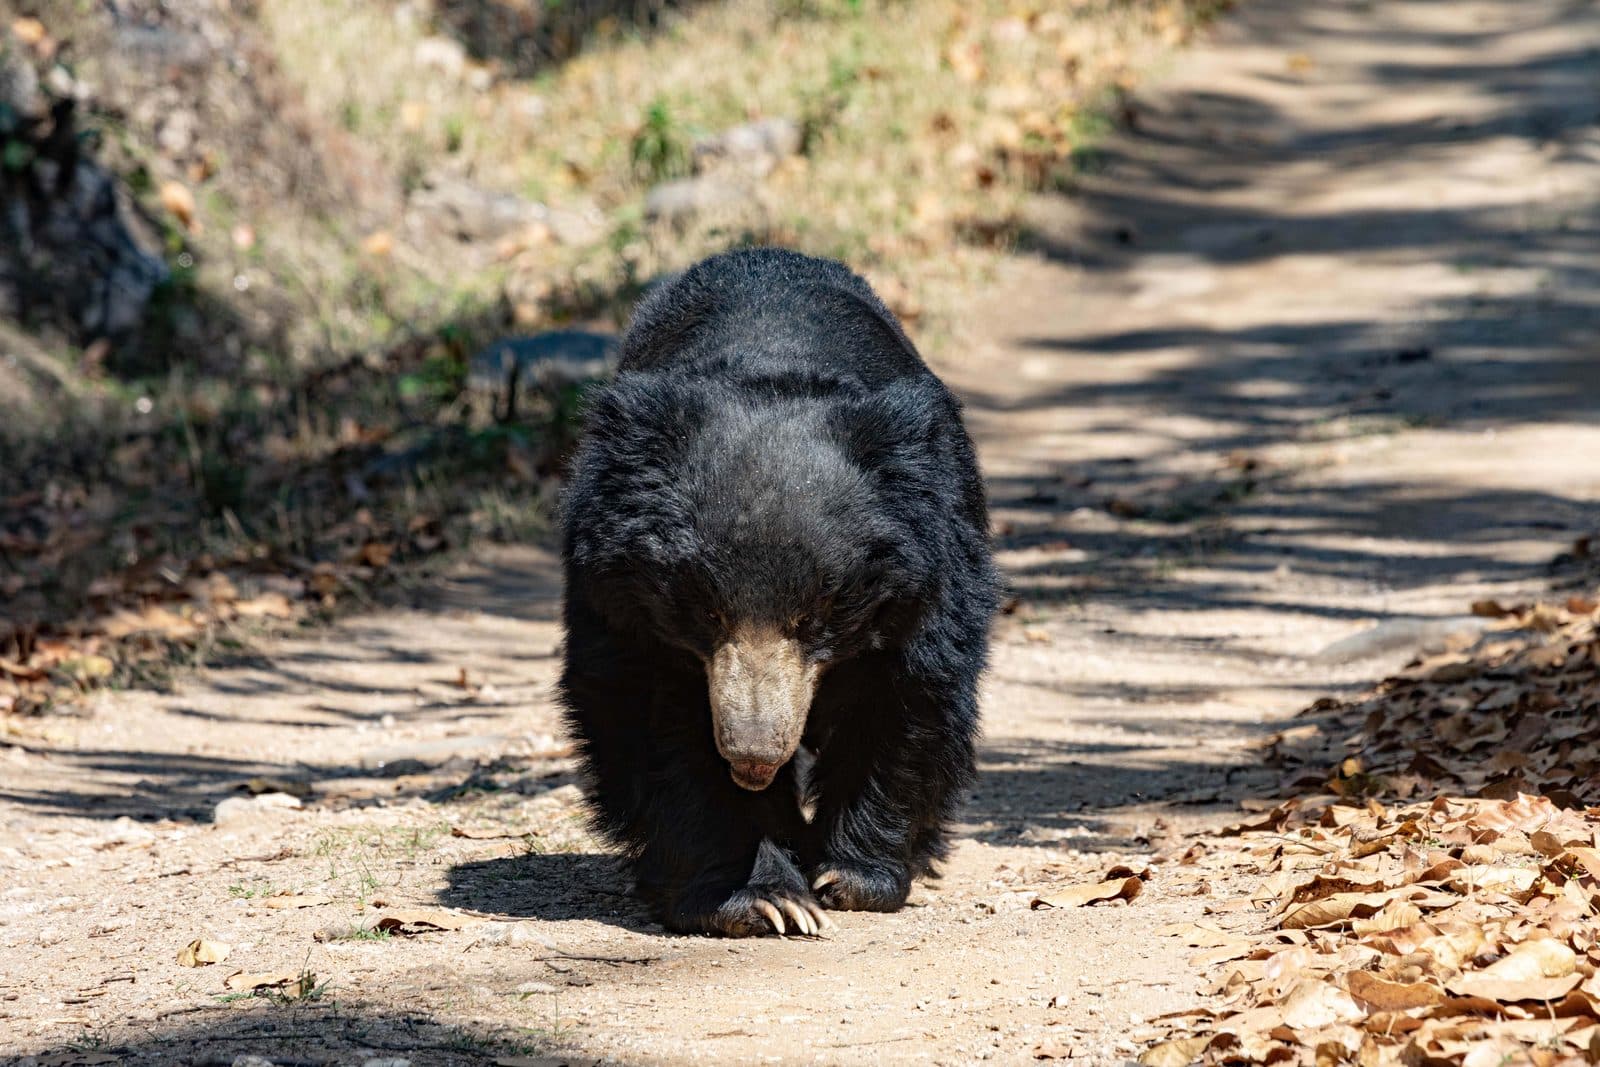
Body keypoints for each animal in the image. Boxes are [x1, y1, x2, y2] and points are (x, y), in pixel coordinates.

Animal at [559, 248, 998, 937]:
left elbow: (908, 696)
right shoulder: (619, 599)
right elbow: (656, 722)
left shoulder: (933, 562)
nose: (753, 758)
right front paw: (761, 898)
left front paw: (849, 879)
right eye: (706, 610)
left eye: (818, 614)